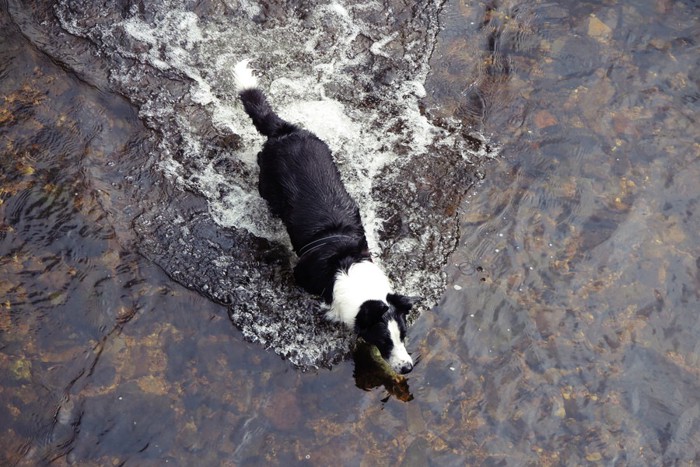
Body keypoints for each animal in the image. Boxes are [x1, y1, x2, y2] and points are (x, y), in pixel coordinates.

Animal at [235, 60, 412, 374]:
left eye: (403, 335)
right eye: (384, 341)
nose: (408, 368)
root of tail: (285, 131)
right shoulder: (302, 278)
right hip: (267, 184)